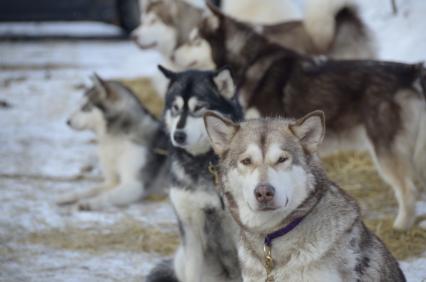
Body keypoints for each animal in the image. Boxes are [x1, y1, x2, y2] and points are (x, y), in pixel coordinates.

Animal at [56, 74, 170, 210]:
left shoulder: (135, 185)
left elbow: (107, 196)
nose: (67, 121)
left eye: (85, 108)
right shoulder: (111, 182)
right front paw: (69, 196)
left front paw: (89, 202)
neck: (117, 138)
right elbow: (91, 190)